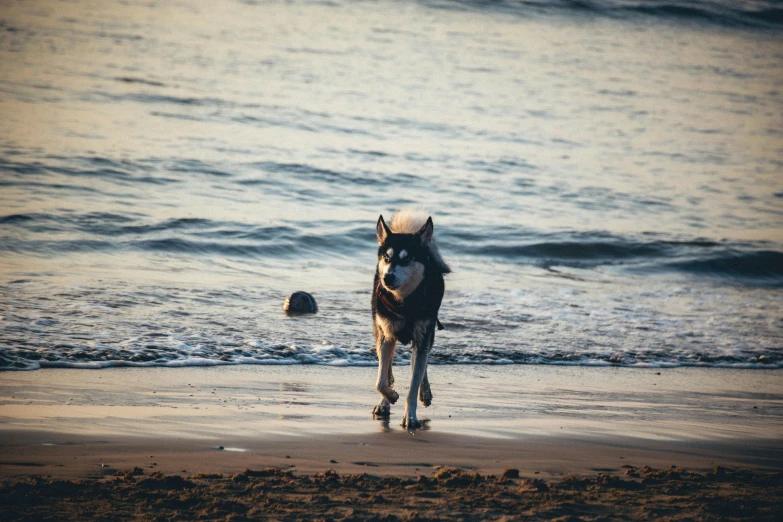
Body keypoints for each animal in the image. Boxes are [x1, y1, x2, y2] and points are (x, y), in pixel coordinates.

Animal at [370, 206, 450, 426]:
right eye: (387, 258)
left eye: (406, 259)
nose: (387, 277)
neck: (404, 303)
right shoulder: (386, 336)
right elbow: (381, 380)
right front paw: (390, 397)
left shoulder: (423, 336)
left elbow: (414, 382)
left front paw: (410, 415)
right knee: (387, 370)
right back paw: (384, 403)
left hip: (428, 332)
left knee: (421, 365)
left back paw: (425, 392)